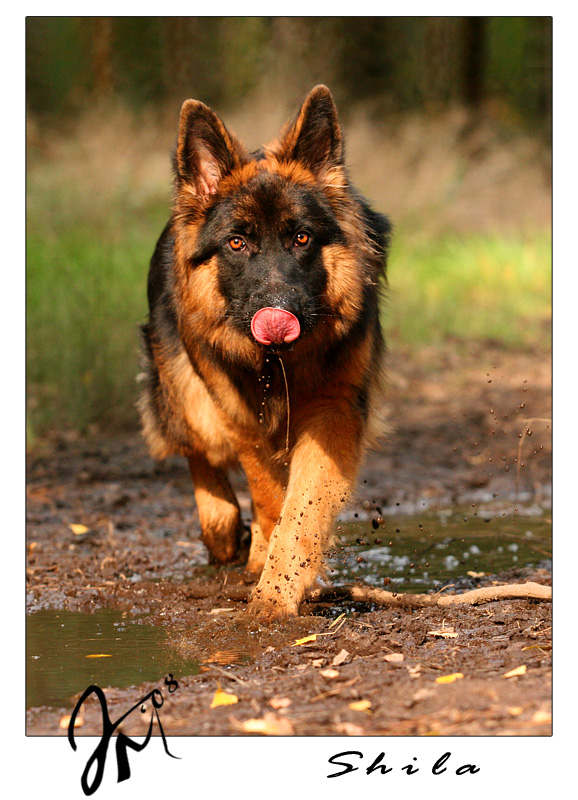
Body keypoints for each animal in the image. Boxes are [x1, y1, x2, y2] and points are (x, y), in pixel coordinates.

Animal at [139, 84, 390, 620]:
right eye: (237, 243)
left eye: (301, 237)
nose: (279, 314)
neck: (278, 366)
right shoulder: (240, 414)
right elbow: (270, 496)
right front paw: (269, 576)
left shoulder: (333, 411)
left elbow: (301, 508)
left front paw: (278, 592)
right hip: (184, 386)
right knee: (200, 448)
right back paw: (223, 526)